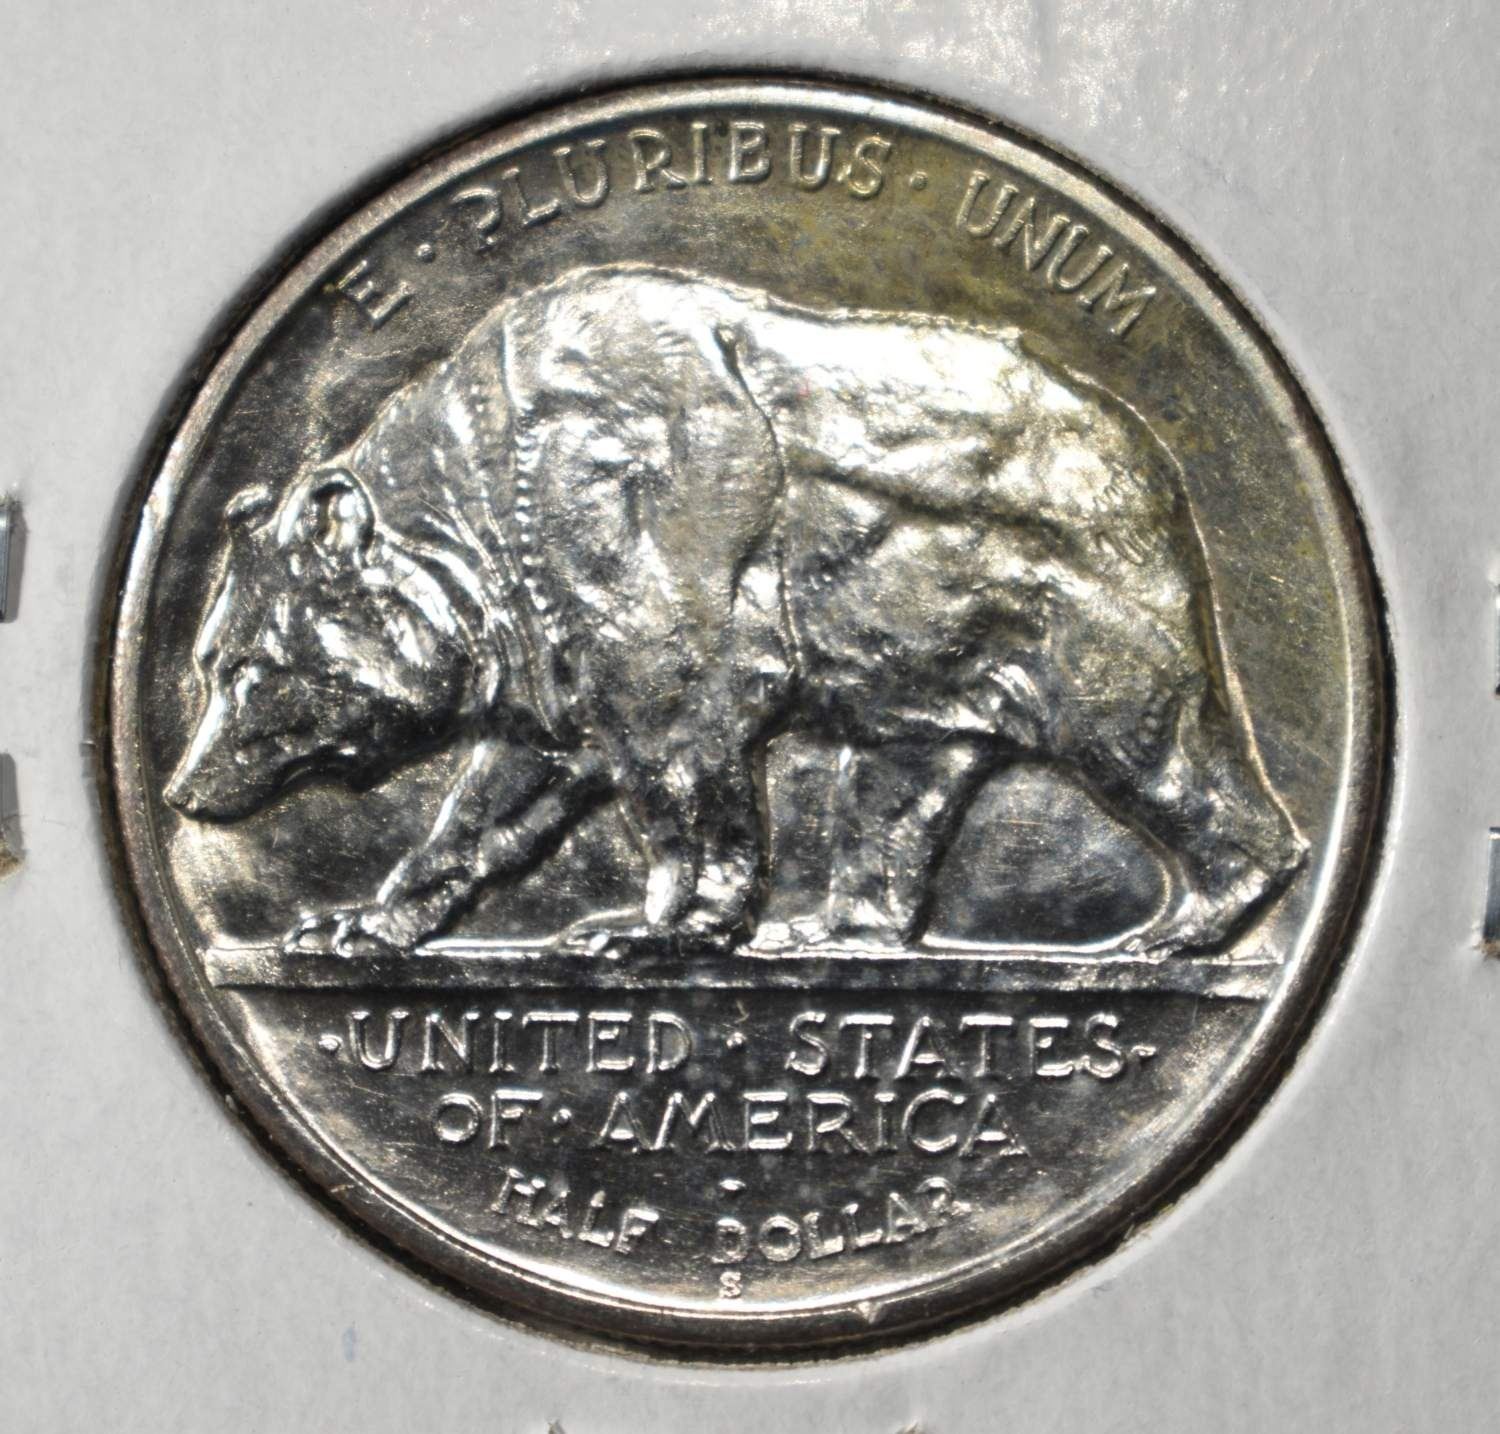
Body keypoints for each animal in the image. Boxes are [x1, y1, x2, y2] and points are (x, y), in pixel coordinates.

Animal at [164, 263, 1306, 959]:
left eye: (244, 669)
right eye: (215, 660)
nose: (178, 788)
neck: (481, 534)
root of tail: (1146, 455)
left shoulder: (657, 594)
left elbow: (686, 772)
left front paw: (659, 925)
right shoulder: (548, 662)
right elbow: (486, 806)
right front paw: (362, 922)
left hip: (1074, 623)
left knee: (1156, 749)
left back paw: (1186, 923)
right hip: (924, 661)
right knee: (897, 789)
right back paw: (836, 927)